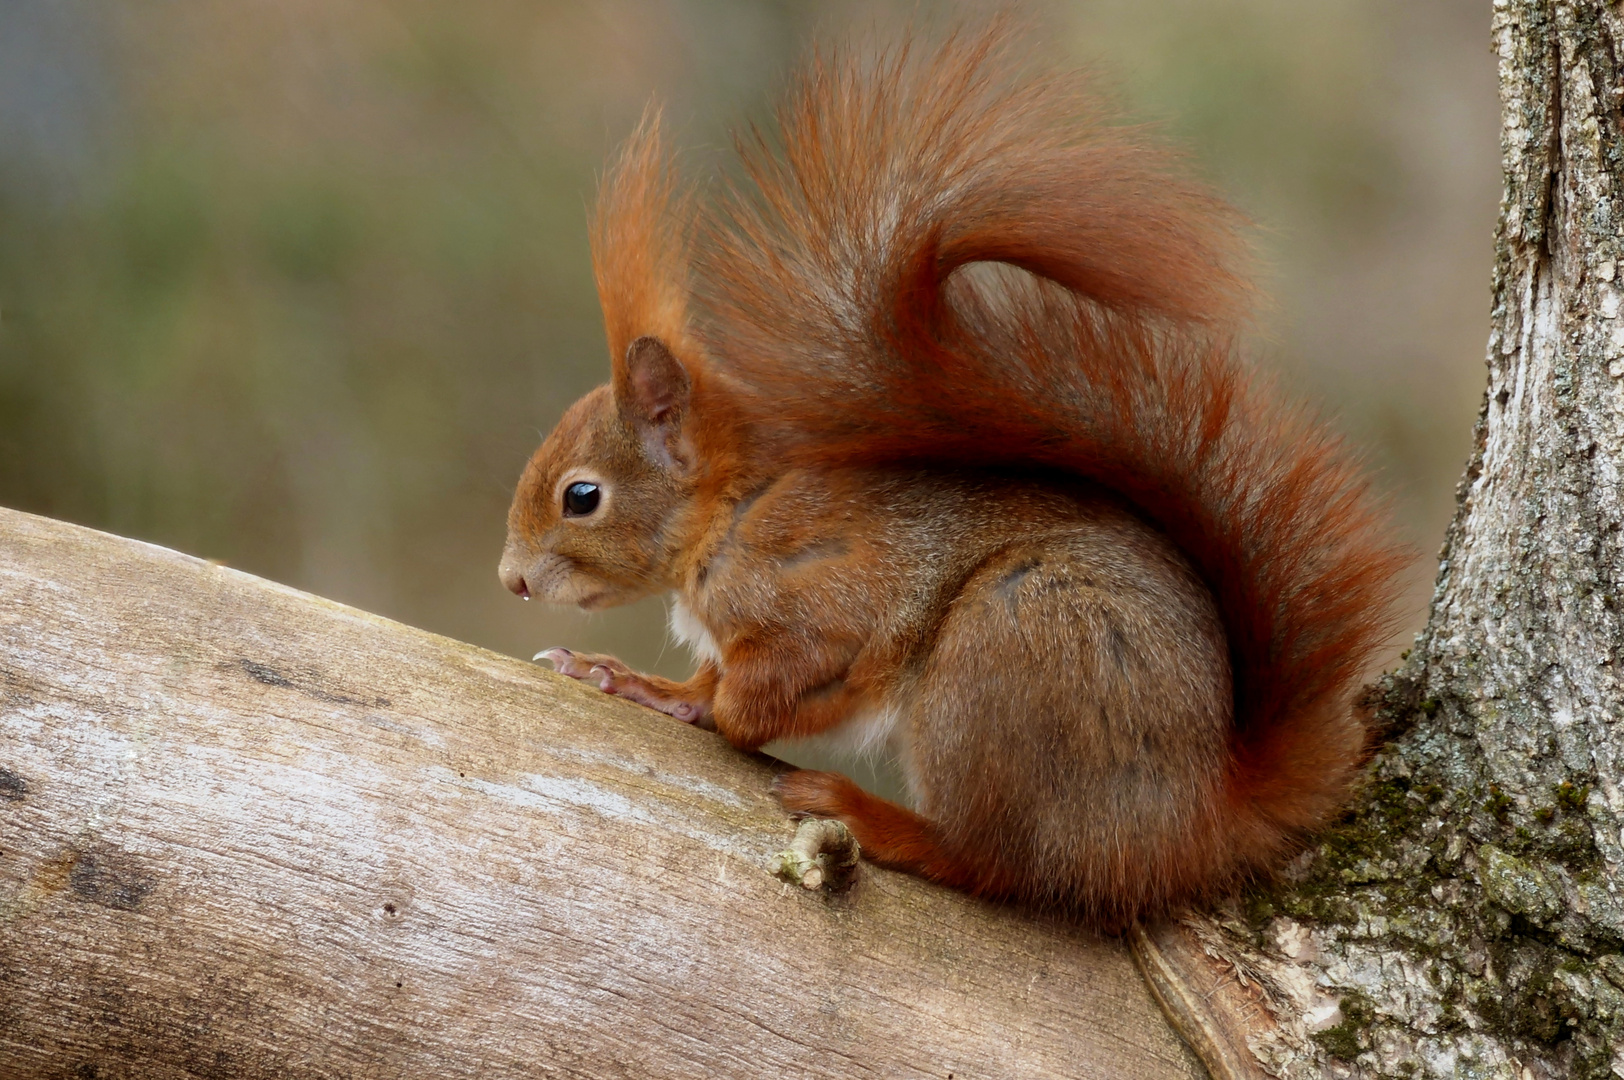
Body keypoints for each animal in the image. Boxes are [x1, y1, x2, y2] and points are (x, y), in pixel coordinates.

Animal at [500, 27, 1403, 928]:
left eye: (581, 497)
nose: (511, 579)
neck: (731, 510)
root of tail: (1196, 821)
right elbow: (710, 680)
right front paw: (642, 684)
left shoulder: (825, 593)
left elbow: (768, 687)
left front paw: (723, 711)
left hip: (1006, 651)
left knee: (994, 863)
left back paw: (871, 815)